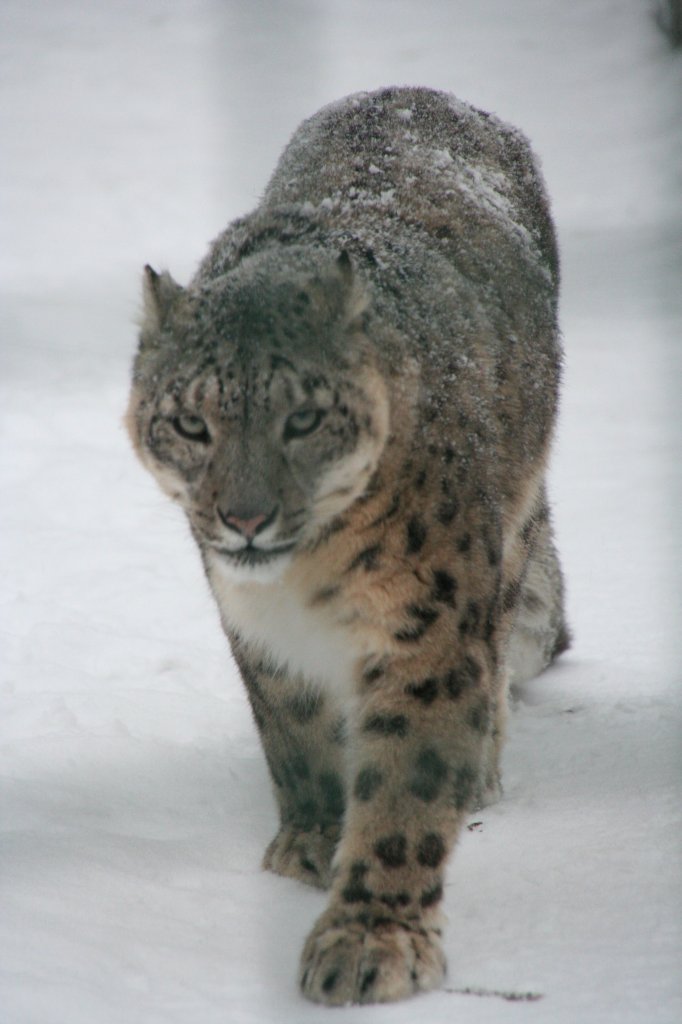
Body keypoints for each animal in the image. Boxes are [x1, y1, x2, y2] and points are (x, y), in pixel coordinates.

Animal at [124, 83, 565, 1003]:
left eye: (303, 418)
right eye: (191, 423)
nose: (244, 518)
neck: (307, 584)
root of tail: (416, 92)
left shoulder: (429, 628)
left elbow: (404, 788)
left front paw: (370, 941)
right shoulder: (259, 629)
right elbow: (296, 736)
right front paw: (311, 843)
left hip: (508, 547)